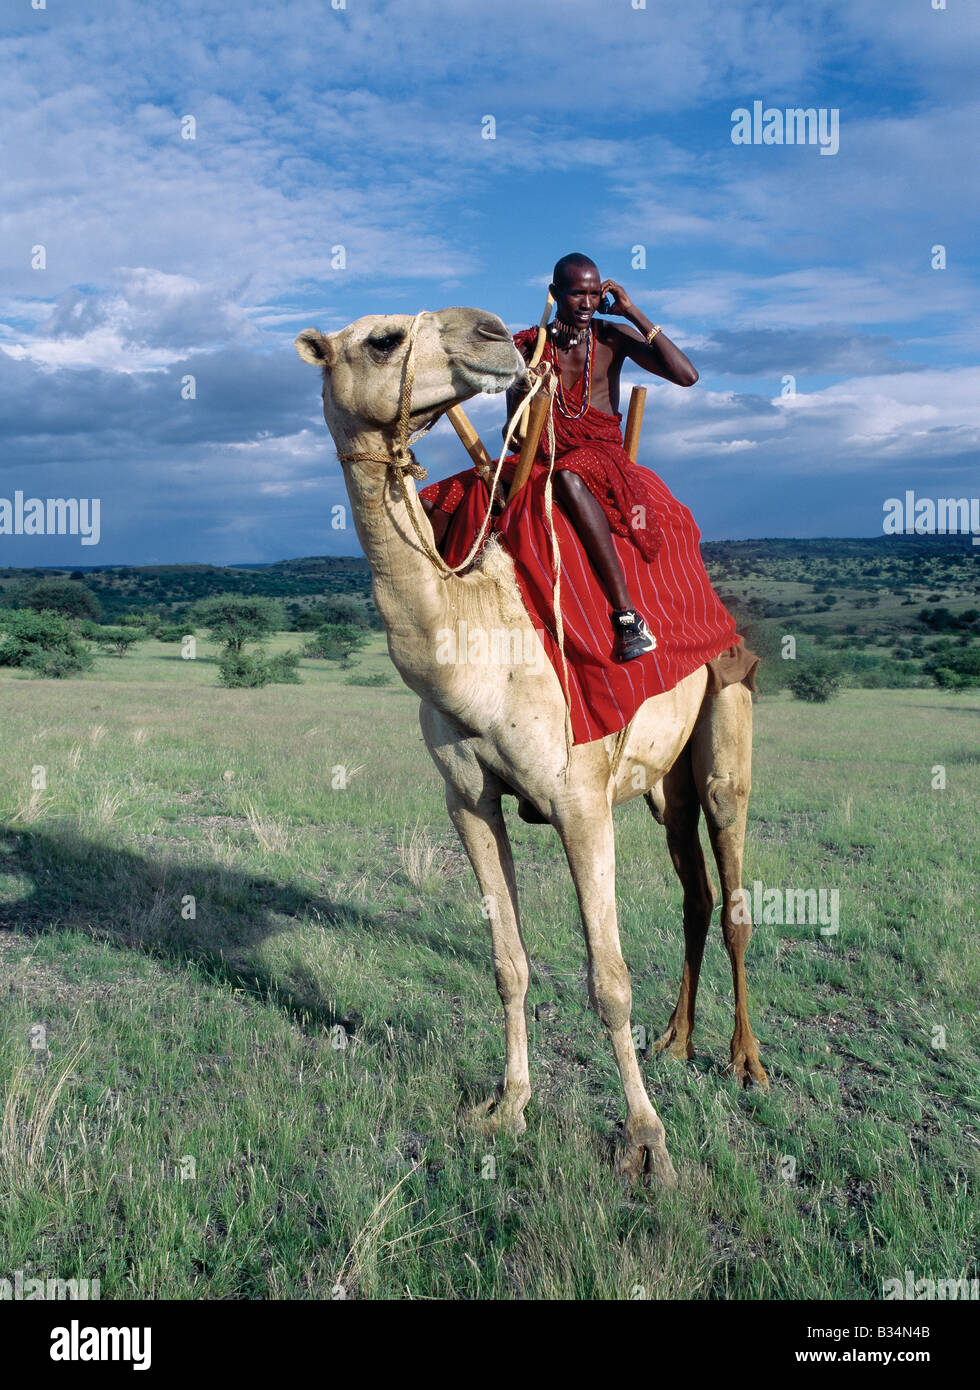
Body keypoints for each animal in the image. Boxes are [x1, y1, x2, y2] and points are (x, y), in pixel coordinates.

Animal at [294, 304, 767, 1184]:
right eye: (382, 339)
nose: (491, 333)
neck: (477, 646)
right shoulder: (468, 799)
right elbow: (507, 962)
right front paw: (508, 1106)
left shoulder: (580, 800)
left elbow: (609, 980)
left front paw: (646, 1143)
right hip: (664, 784)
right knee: (694, 892)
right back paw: (678, 1040)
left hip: (729, 714)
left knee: (734, 897)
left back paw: (745, 1061)